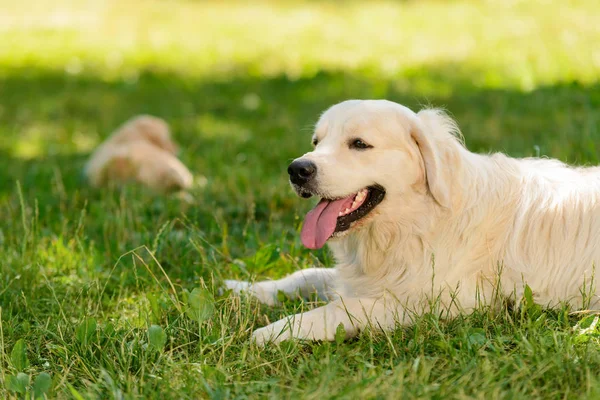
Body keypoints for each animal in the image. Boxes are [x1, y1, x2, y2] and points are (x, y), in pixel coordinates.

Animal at [225, 99, 600, 344]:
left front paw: (273, 331)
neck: (417, 219)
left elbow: (338, 309)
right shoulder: (366, 278)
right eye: (317, 142)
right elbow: (307, 275)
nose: (297, 169)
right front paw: (245, 288)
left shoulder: (434, 303)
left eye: (359, 144)